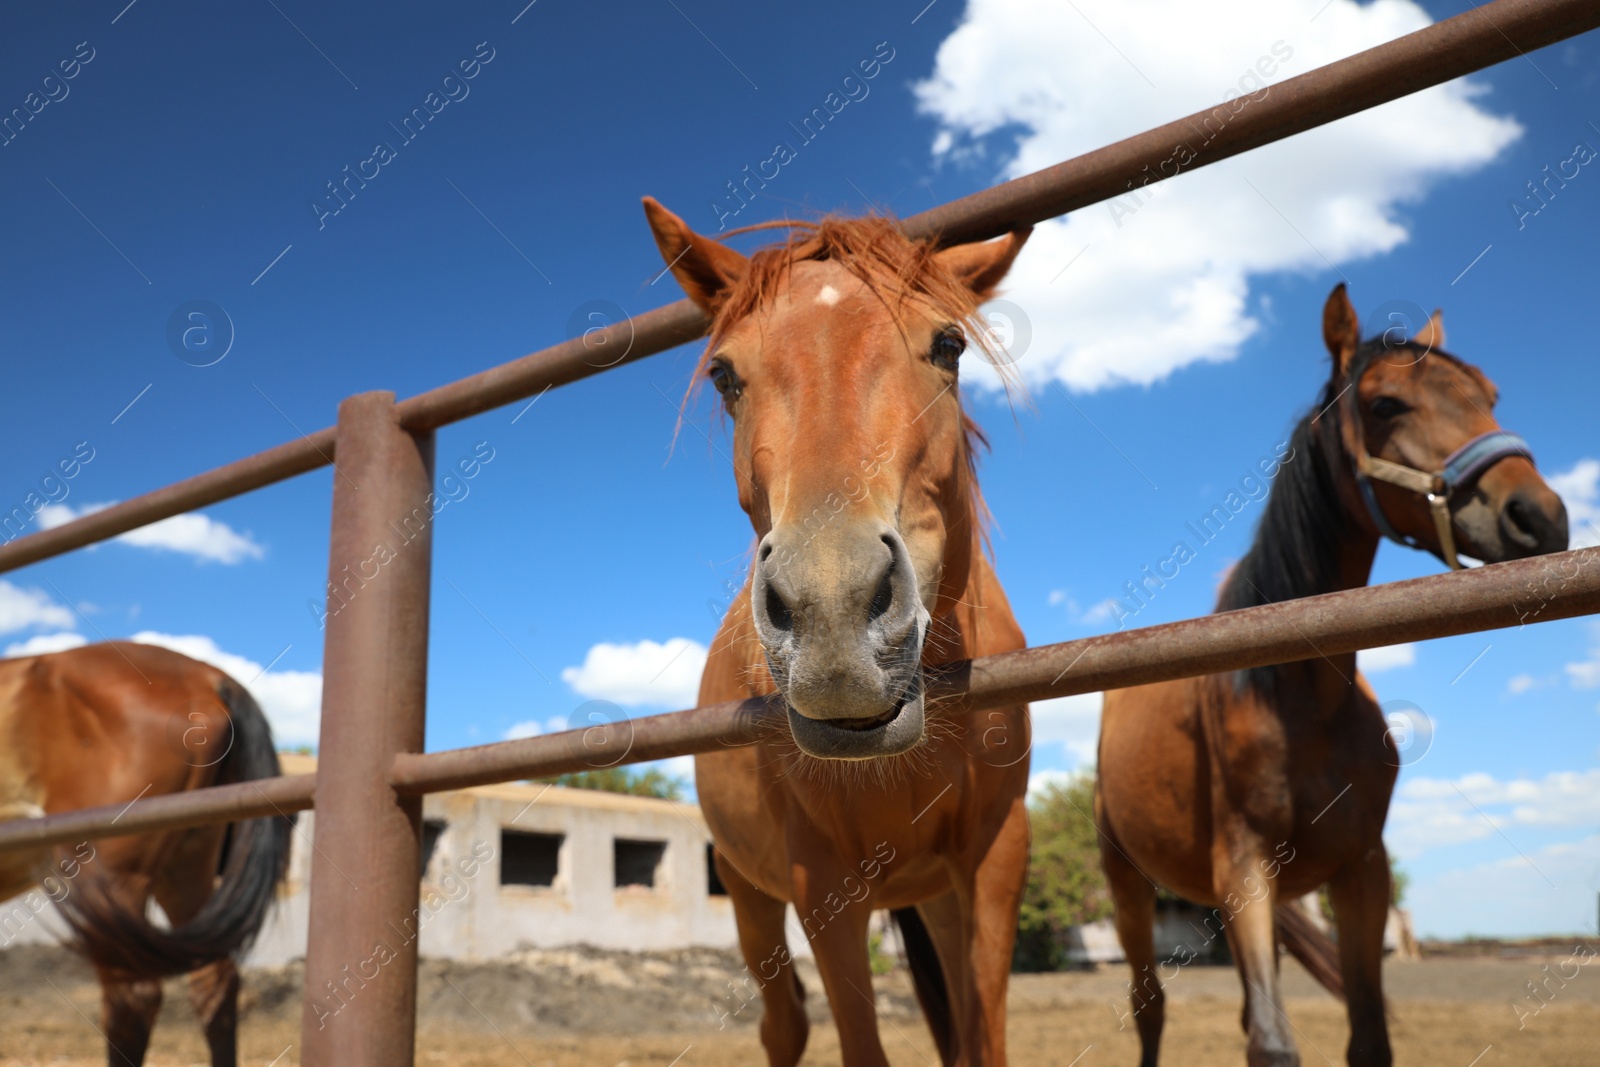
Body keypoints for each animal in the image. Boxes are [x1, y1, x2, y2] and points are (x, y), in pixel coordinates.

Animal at [640, 195, 1030, 1062]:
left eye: (948, 344)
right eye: (724, 374)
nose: (833, 611)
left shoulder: (992, 861)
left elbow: (981, 1038)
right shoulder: (821, 882)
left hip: (935, 896)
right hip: (748, 891)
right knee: (783, 1022)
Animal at [1094, 286, 1568, 1067]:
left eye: (1490, 393)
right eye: (1385, 405)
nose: (1540, 515)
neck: (1300, 698)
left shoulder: (1361, 871)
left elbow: (1366, 1034)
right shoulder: (1244, 867)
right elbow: (1272, 1043)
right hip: (1127, 883)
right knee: (1150, 1008)